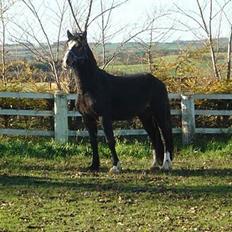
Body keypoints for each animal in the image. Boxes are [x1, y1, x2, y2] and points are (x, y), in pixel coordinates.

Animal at [62, 29, 173, 173]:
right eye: (67, 44)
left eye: (80, 46)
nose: (66, 61)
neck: (90, 87)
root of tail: (159, 82)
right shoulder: (88, 118)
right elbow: (93, 142)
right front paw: (94, 166)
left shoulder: (104, 117)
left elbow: (110, 140)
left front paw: (115, 166)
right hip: (145, 116)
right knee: (154, 136)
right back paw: (154, 164)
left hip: (160, 114)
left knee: (165, 135)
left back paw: (166, 164)